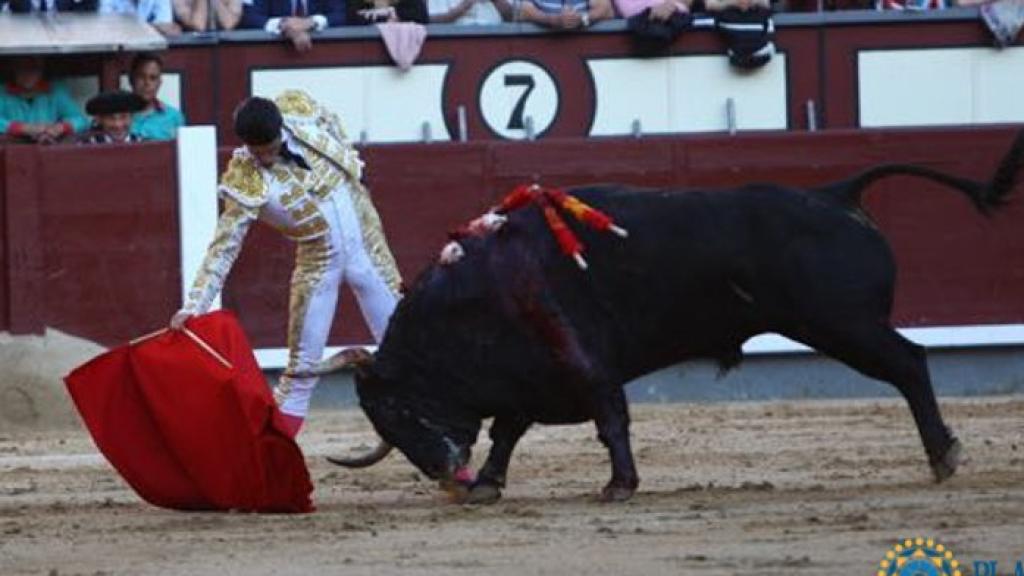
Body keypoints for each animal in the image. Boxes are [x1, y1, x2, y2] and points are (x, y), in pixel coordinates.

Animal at [329, 131, 1024, 502]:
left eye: (394, 411)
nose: (443, 474)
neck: (475, 294)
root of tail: (834, 192)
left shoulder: (585, 365)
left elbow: (609, 420)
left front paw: (618, 486)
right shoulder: (533, 377)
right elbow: (507, 432)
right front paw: (487, 486)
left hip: (842, 324)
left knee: (910, 362)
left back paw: (944, 456)